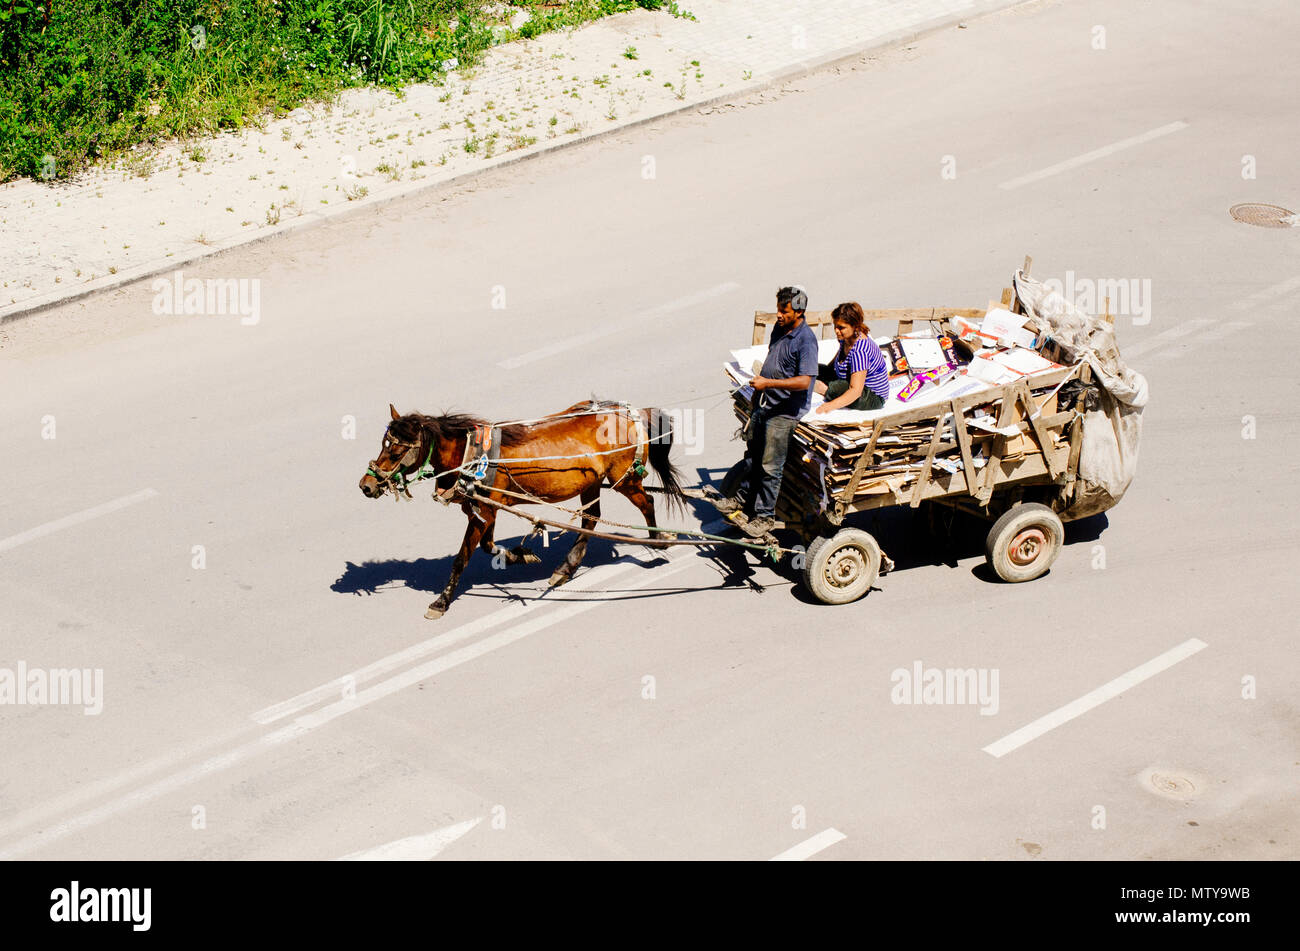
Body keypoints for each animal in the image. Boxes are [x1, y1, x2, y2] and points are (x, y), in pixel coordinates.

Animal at [351, 400, 686, 615]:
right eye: (383, 444)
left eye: (396, 451)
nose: (366, 485)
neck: (471, 453)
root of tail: (628, 413)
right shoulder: (484, 510)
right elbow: (487, 546)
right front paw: (519, 555)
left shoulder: (483, 511)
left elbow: (461, 559)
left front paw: (441, 602)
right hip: (591, 483)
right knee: (591, 518)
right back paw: (565, 567)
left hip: (623, 479)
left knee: (646, 502)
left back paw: (659, 539)